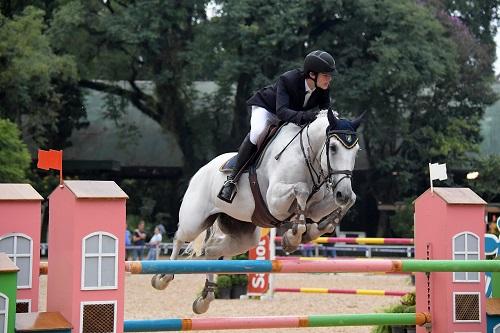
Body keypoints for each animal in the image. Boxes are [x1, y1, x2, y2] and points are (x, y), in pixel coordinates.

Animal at [150, 108, 362, 312]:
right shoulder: (275, 202)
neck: (307, 156)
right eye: (333, 148)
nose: (342, 193)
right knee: (179, 238)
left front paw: (313, 230)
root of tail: (201, 170)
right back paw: (162, 278)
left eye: (356, 151)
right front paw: (293, 237)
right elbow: (301, 189)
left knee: (211, 250)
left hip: (244, 235)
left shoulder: (315, 208)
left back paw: (205, 299)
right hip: (194, 221)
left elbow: (349, 200)